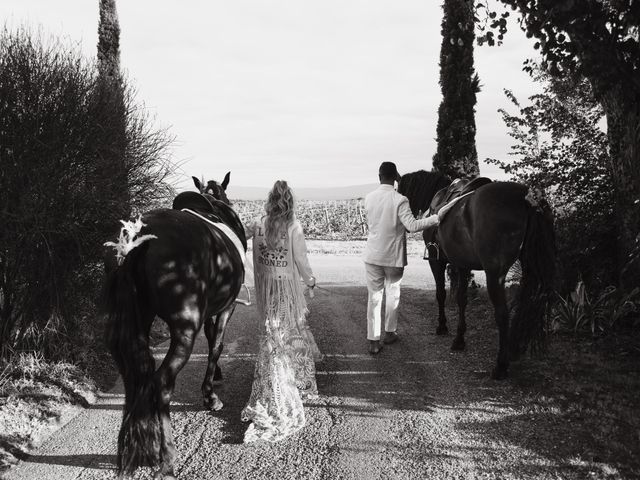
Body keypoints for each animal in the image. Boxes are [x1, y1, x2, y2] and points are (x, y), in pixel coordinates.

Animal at [104, 172, 246, 476]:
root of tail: (138, 241)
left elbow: (212, 338)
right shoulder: (226, 308)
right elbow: (216, 344)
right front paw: (210, 396)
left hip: (136, 324)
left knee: (136, 378)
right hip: (184, 329)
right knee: (162, 383)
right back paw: (167, 457)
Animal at [400, 172, 556, 378]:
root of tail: (527, 197)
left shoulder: (437, 262)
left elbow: (441, 294)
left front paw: (442, 327)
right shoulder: (463, 265)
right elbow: (462, 299)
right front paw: (459, 338)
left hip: (495, 275)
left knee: (502, 313)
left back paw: (501, 366)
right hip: (529, 271)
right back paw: (515, 349)